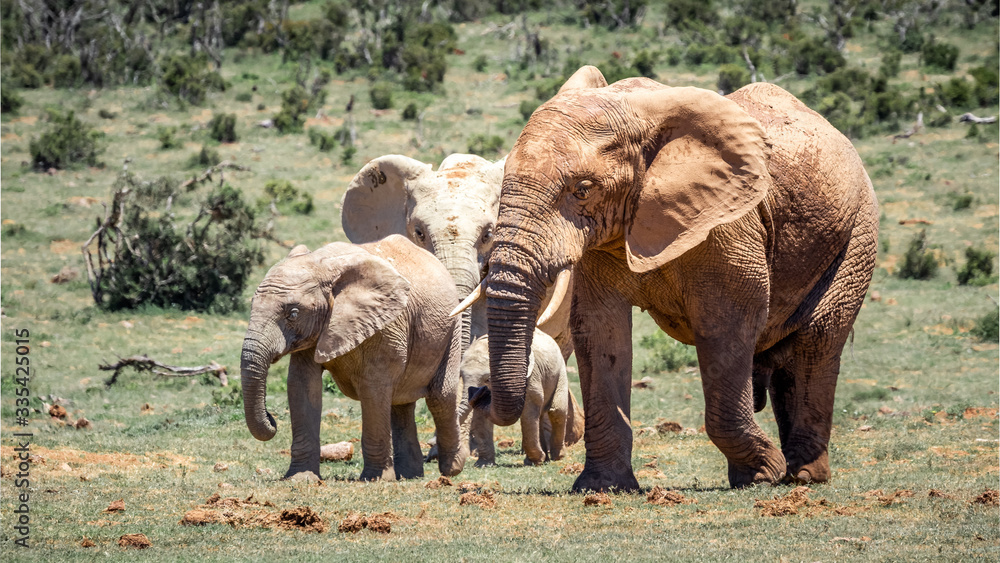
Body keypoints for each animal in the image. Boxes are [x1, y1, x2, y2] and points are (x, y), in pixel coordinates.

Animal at [240, 235, 469, 481]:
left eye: (292, 314)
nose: (271, 419)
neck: (321, 265)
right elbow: (302, 385)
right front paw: (301, 478)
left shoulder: (385, 325)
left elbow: (373, 388)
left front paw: (375, 479)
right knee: (401, 403)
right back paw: (410, 475)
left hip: (452, 327)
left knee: (440, 398)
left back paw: (452, 469)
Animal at [460, 329, 569, 466]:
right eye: (461, 376)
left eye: (488, 379)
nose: (475, 391)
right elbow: (480, 416)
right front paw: (483, 465)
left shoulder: (531, 377)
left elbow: (529, 410)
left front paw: (534, 461)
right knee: (540, 416)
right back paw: (546, 459)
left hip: (560, 370)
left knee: (557, 411)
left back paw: (557, 457)